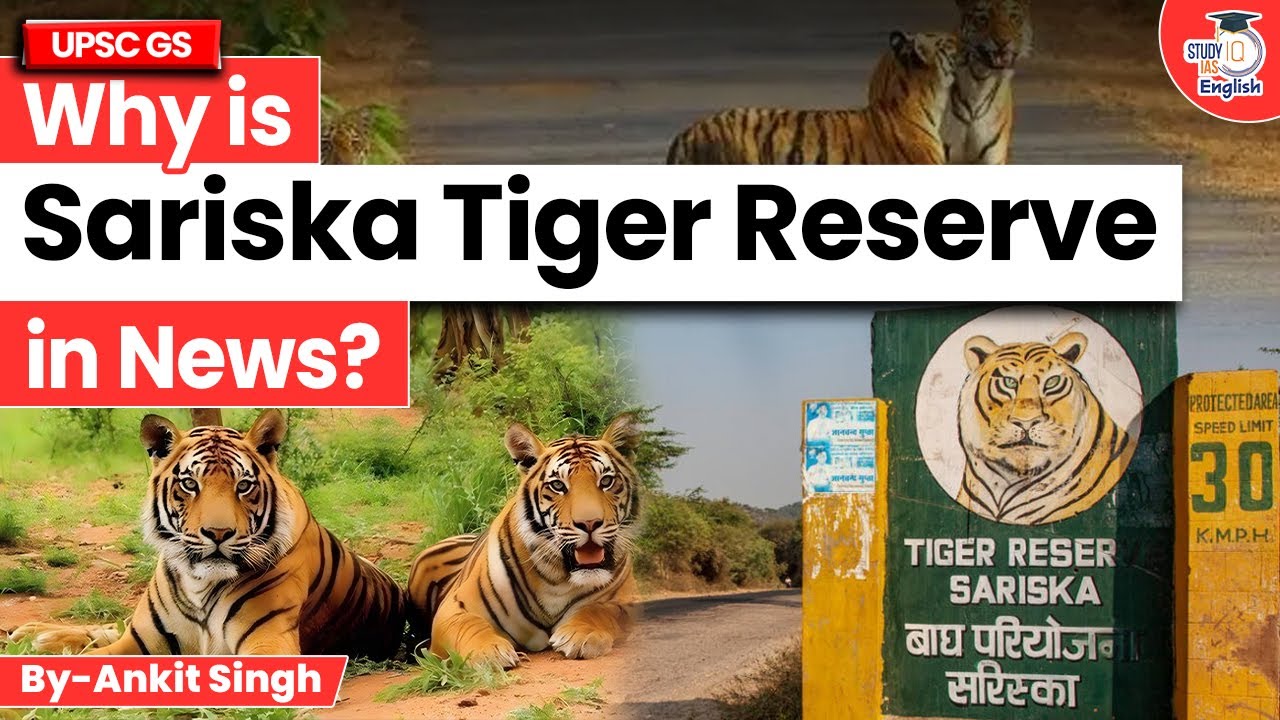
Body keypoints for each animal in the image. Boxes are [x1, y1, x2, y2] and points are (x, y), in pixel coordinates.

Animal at [11, 410, 406, 657]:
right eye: (190, 484)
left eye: (244, 486)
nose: (218, 532)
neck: (199, 584)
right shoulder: (138, 642)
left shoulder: (267, 644)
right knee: (110, 626)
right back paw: (33, 632)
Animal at [406, 415, 641, 668]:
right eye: (558, 485)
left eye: (606, 481)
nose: (590, 523)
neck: (556, 577)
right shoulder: (455, 607)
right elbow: (469, 625)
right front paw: (488, 652)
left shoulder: (626, 600)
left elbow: (601, 610)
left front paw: (583, 634)